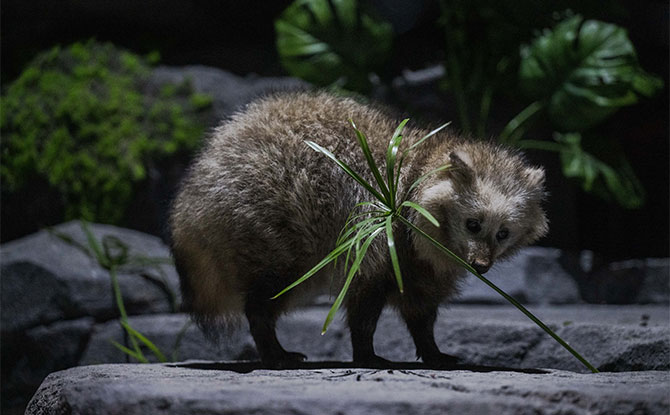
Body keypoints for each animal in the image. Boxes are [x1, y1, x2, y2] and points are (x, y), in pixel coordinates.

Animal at [169, 91, 552, 368]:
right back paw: (271, 345)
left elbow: (421, 310)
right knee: (270, 292)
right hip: (263, 219)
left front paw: (431, 348)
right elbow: (364, 304)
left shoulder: (418, 264)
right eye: (473, 225)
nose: (481, 266)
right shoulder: (376, 238)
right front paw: (365, 352)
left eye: (503, 233)